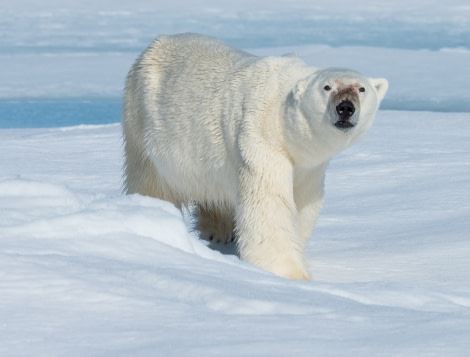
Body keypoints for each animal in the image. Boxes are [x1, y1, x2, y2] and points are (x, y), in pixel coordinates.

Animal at [122, 32, 390, 278]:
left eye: (361, 88)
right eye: (327, 87)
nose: (345, 107)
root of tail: (156, 43)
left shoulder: (310, 167)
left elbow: (303, 203)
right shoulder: (262, 139)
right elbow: (269, 205)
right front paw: (290, 273)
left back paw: (219, 233)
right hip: (143, 124)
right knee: (152, 184)